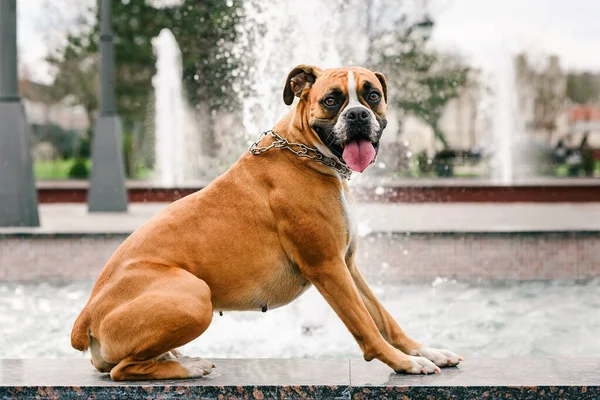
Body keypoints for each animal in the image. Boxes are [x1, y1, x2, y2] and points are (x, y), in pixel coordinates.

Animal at [72, 65, 462, 382]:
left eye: (373, 95)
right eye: (332, 100)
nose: (356, 115)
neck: (306, 152)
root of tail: (87, 315)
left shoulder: (347, 265)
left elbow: (383, 317)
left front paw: (424, 351)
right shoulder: (327, 266)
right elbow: (366, 326)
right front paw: (404, 364)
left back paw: (176, 356)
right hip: (195, 294)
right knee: (123, 370)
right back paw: (187, 366)